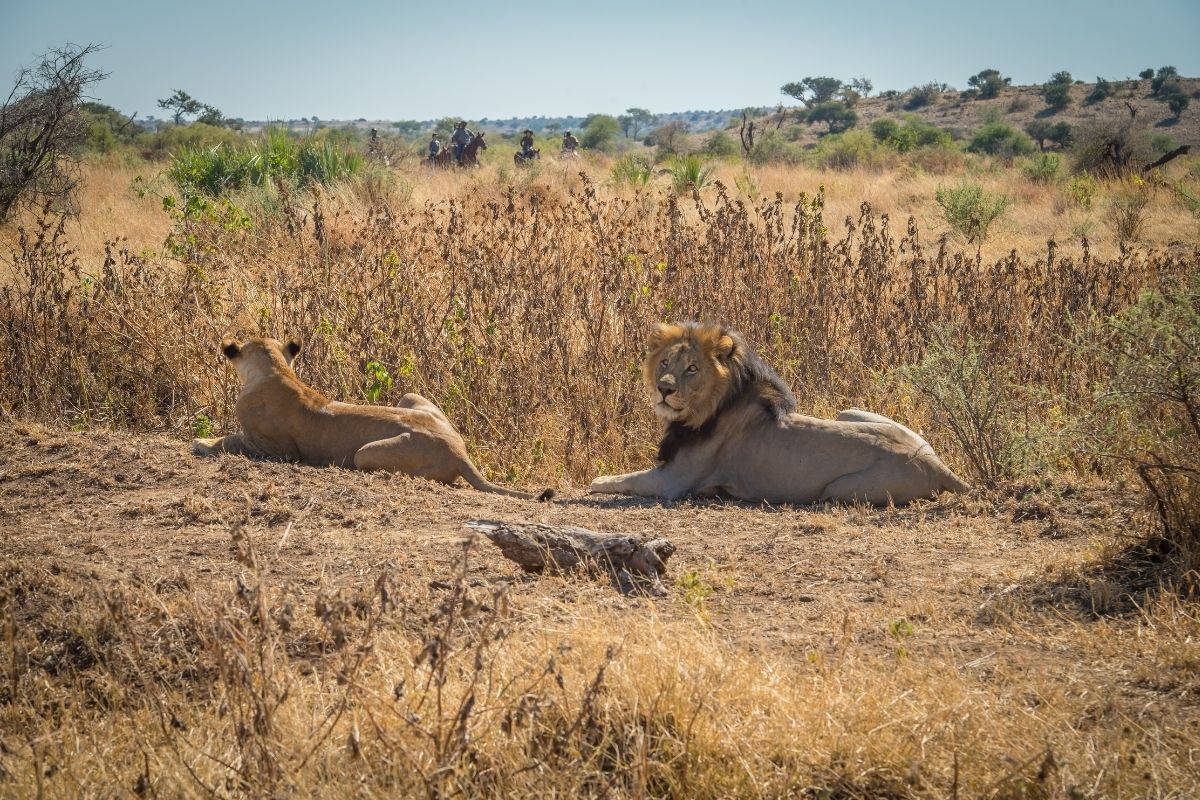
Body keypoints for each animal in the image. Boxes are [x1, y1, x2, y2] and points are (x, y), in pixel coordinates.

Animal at [192, 337, 551, 500]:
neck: (275, 370)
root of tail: (459, 450)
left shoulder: (276, 448)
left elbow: (230, 439)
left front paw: (201, 442)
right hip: (411, 396)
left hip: (364, 454)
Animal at [588, 322, 969, 506]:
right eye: (665, 362)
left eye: (692, 368)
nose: (663, 388)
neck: (710, 406)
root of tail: (936, 463)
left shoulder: (673, 481)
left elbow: (623, 479)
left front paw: (597, 481)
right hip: (849, 411)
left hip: (837, 491)